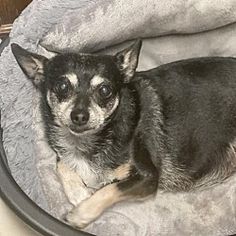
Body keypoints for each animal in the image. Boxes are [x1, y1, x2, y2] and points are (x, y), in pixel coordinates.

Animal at [12, 40, 236, 229]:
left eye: (105, 90)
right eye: (62, 86)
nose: (79, 115)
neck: (87, 143)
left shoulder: (147, 177)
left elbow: (110, 189)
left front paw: (81, 213)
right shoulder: (63, 155)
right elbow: (61, 165)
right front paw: (79, 193)